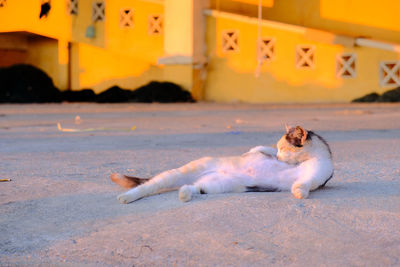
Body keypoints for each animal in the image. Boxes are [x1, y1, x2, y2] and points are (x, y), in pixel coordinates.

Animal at [111, 125, 332, 203]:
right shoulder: (258, 150)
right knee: (147, 186)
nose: (278, 158)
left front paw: (299, 192)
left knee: (192, 188)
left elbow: (304, 184)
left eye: (284, 149)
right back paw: (125, 197)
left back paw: (184, 194)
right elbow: (257, 148)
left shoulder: (316, 175)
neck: (310, 159)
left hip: (214, 186)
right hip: (179, 173)